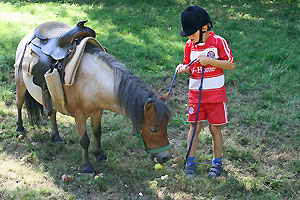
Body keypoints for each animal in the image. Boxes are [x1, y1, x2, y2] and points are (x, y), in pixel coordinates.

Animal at [15, 28, 172, 173]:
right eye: (153, 129)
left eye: (167, 125)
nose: (165, 157)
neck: (92, 80)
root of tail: (28, 36)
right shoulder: (79, 116)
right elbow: (84, 140)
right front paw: (86, 166)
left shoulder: (98, 111)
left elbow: (97, 133)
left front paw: (99, 154)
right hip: (20, 85)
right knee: (19, 104)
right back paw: (20, 128)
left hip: (52, 95)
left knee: (52, 112)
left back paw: (56, 136)